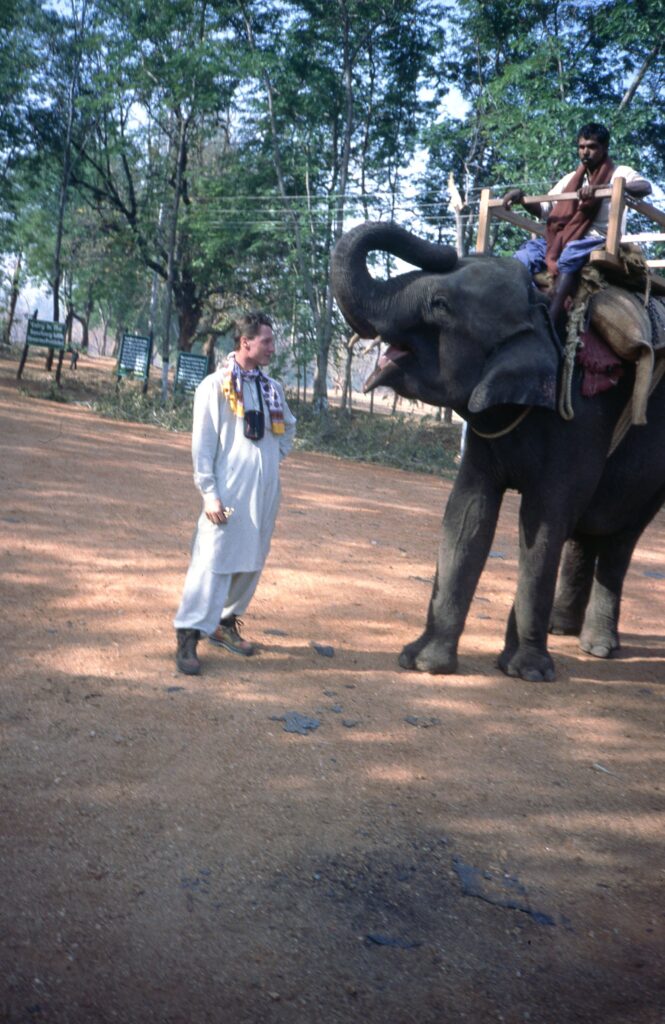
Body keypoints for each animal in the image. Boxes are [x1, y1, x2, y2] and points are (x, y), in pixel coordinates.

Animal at [331, 220, 663, 679]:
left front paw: (527, 671)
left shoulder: (579, 419)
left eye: (439, 305)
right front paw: (421, 662)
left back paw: (596, 646)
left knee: (619, 535)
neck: (541, 312)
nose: (444, 250)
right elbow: (467, 512)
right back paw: (561, 629)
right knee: (586, 531)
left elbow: (543, 524)